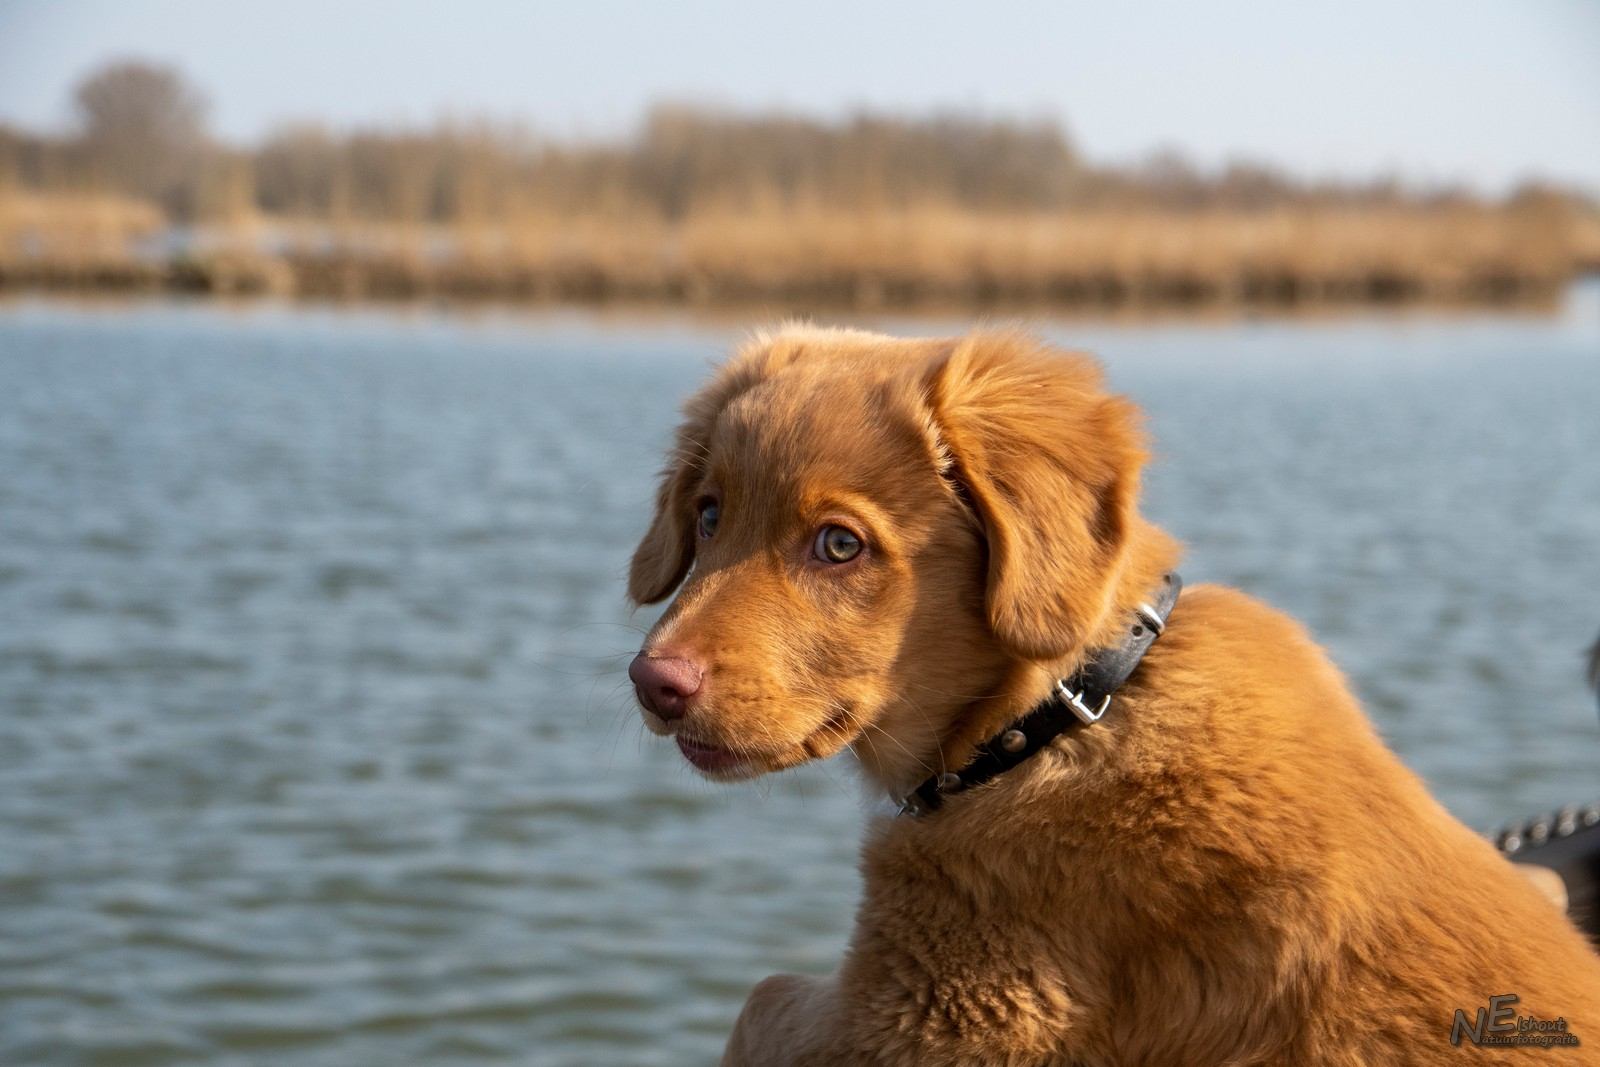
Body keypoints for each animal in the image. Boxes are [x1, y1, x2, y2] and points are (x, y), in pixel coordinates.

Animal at [624, 327, 1600, 1067]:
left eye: (838, 545)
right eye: (708, 515)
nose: (652, 683)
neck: (1060, 715)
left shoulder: (940, 1012)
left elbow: (760, 996)